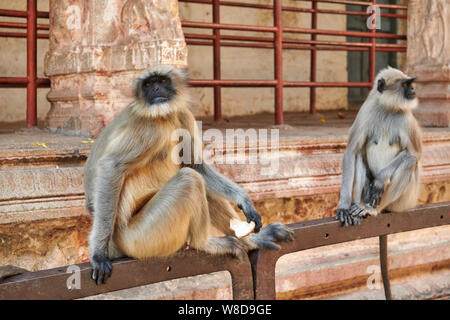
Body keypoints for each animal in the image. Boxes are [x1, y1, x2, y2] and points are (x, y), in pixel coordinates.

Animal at [84, 65, 294, 284]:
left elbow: (195, 164)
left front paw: (243, 199)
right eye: (148, 84)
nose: (156, 90)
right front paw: (98, 253)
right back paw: (205, 244)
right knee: (189, 179)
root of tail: (117, 244)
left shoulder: (182, 114)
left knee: (199, 181)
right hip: (141, 238)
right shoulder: (151, 127)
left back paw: (253, 240)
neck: (163, 115)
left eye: (162, 81)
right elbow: (111, 166)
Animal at [338, 67, 422, 228]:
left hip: (406, 202)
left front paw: (380, 179)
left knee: (410, 161)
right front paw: (344, 205)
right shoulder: (365, 112)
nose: (413, 89)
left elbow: (414, 154)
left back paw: (372, 209)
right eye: (405, 84)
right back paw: (357, 205)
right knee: (358, 155)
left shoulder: (407, 119)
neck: (388, 108)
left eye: (410, 84)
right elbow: (351, 151)